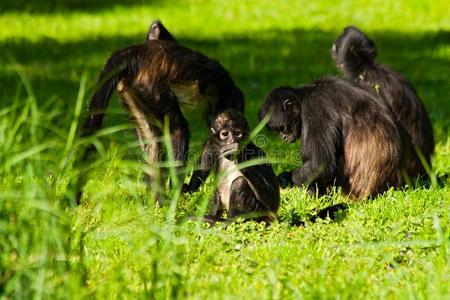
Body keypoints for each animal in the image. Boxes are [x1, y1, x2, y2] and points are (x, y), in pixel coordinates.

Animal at [78, 19, 246, 203]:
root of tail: (132, 54)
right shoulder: (229, 97)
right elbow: (213, 141)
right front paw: (190, 189)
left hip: (134, 93)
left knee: (152, 141)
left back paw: (158, 203)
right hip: (152, 89)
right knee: (178, 130)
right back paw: (175, 195)